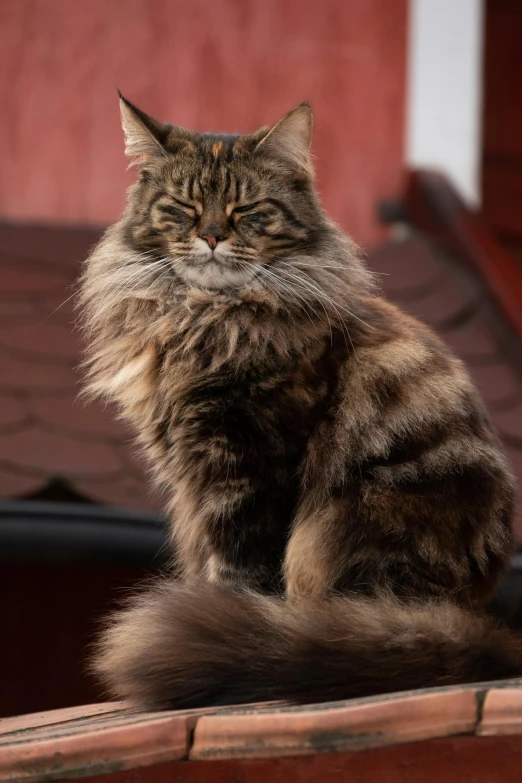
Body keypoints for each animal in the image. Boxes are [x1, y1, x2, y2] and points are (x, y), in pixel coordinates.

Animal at [78, 93, 520, 712]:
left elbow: (239, 570)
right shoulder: (195, 473)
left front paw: (223, 624)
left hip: (343, 527)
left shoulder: (250, 464)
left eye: (245, 210)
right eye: (184, 208)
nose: (210, 237)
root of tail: (470, 621)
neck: (204, 316)